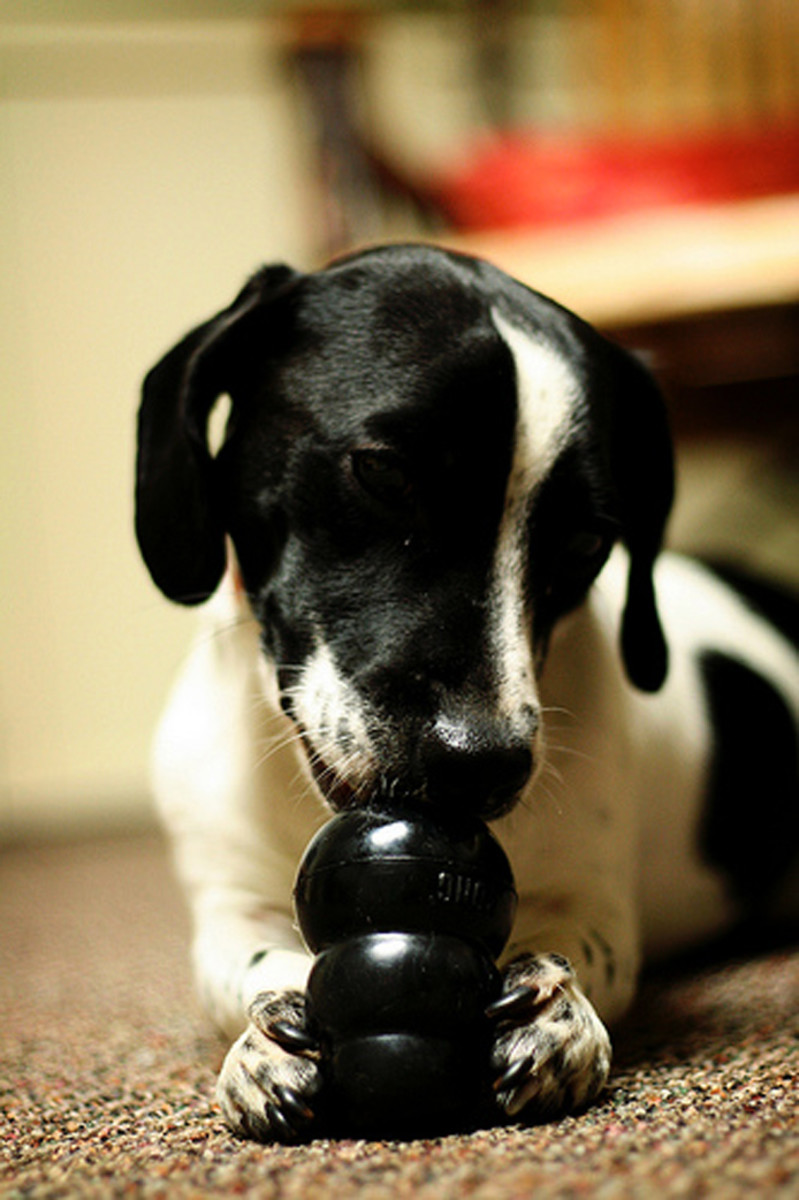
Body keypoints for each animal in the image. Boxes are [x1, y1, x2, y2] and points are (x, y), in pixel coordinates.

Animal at [135, 243, 796, 1142]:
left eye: (586, 540)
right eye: (380, 472)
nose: (481, 765)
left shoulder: (595, 900)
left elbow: (571, 942)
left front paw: (556, 1014)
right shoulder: (229, 909)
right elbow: (257, 965)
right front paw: (266, 1044)